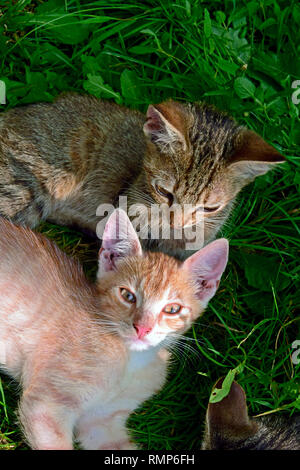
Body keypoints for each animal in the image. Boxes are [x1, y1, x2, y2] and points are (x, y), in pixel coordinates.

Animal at [0, 210, 227, 452]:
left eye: (172, 309)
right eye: (128, 295)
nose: (142, 328)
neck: (130, 361)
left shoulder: (101, 422)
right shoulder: (45, 406)